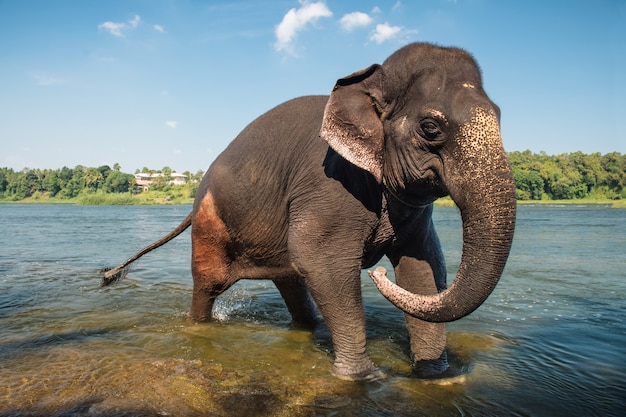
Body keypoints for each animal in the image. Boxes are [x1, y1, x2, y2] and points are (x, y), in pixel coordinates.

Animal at [101, 42, 512, 380]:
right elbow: (322, 259)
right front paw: (361, 378)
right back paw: (199, 326)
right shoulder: (327, 183)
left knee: (292, 280)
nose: (377, 272)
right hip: (210, 222)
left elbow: (422, 267)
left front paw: (436, 376)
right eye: (430, 128)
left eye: (500, 115)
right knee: (211, 283)